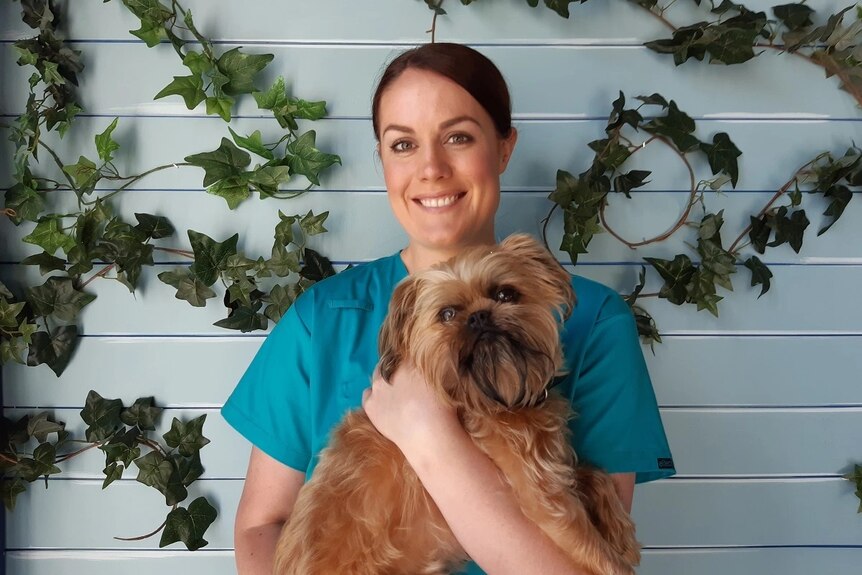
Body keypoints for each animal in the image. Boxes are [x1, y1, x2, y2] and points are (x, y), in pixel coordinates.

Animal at [276, 234, 640, 575]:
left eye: (506, 294)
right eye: (447, 314)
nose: (479, 316)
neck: (497, 397)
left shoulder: (553, 466)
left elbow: (593, 471)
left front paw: (620, 530)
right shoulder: (545, 497)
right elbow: (596, 551)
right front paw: (613, 549)